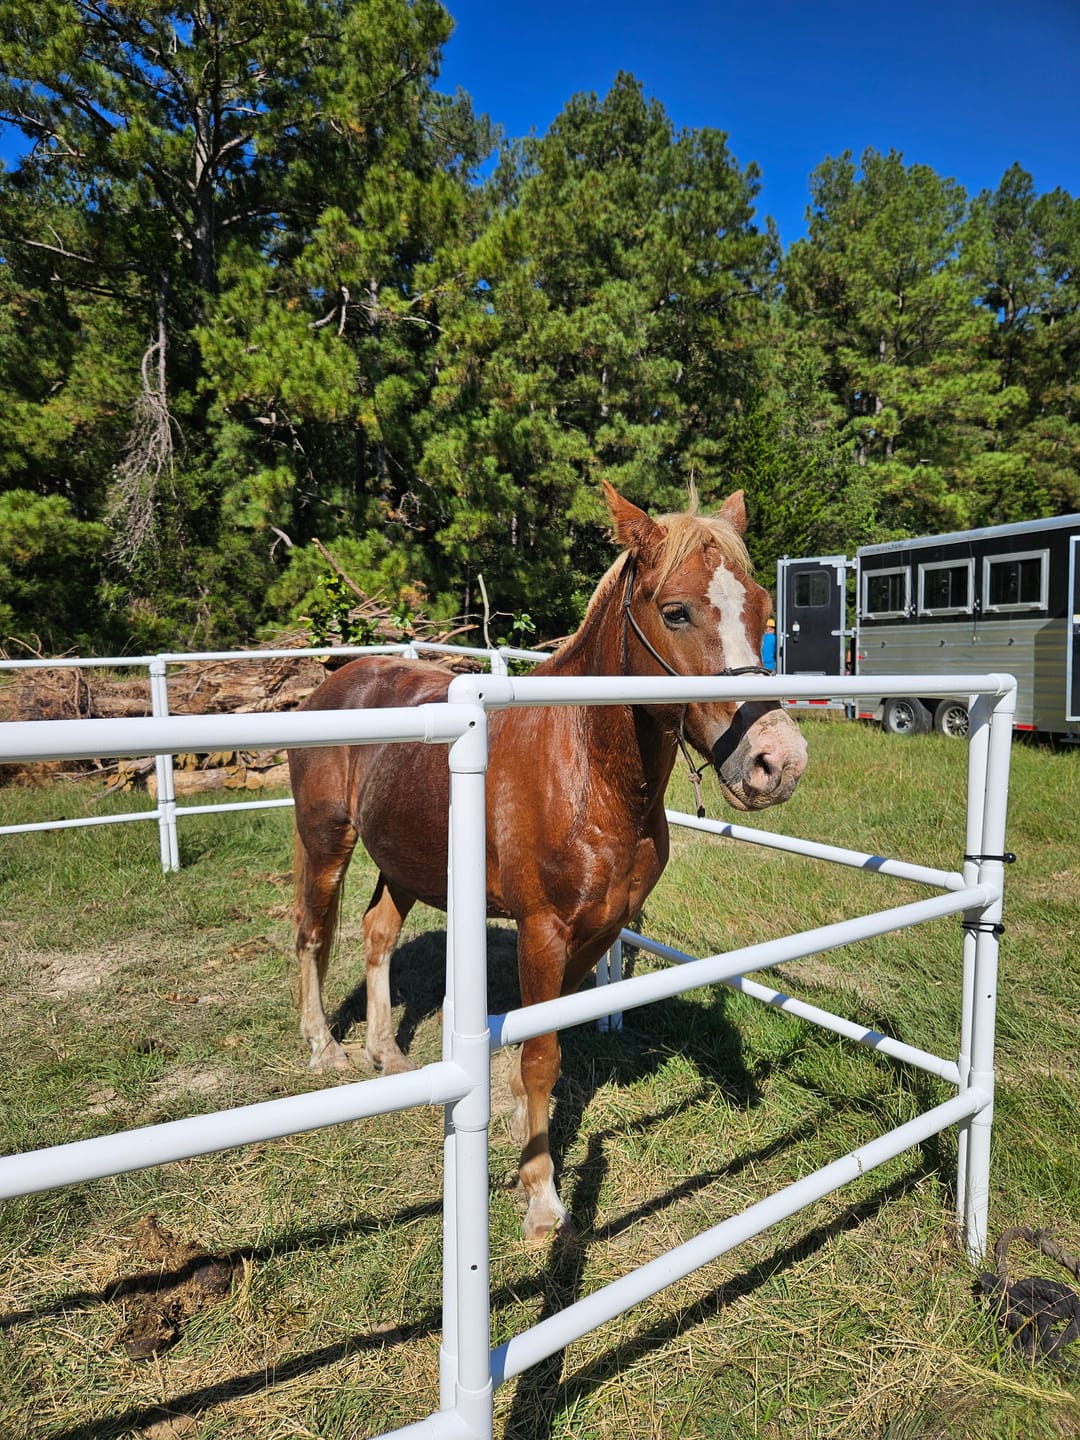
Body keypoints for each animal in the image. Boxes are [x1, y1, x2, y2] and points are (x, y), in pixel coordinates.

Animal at [288, 481, 808, 1244]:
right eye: (677, 611)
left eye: (764, 610)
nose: (778, 762)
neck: (585, 768)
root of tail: (337, 681)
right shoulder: (542, 931)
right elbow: (541, 1058)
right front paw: (540, 1196)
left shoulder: (597, 927)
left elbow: (548, 1041)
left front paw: (509, 1118)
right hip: (328, 841)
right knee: (314, 934)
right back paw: (326, 1048)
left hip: (407, 861)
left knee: (377, 931)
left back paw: (388, 1051)